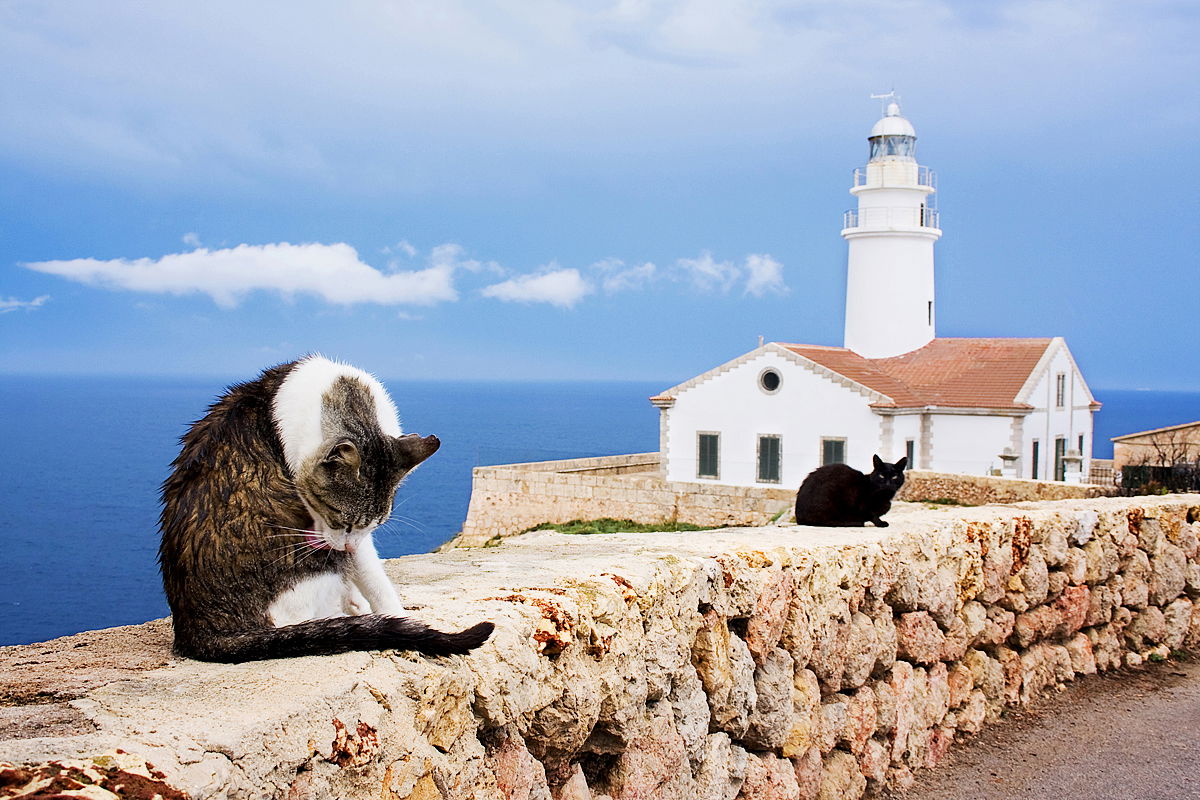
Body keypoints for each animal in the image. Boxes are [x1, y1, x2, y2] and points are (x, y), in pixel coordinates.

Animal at [159, 357, 492, 662]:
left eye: (376, 523)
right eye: (339, 519)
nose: (346, 545)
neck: (346, 390)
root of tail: (199, 631)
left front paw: (361, 603)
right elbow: (372, 574)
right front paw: (392, 614)